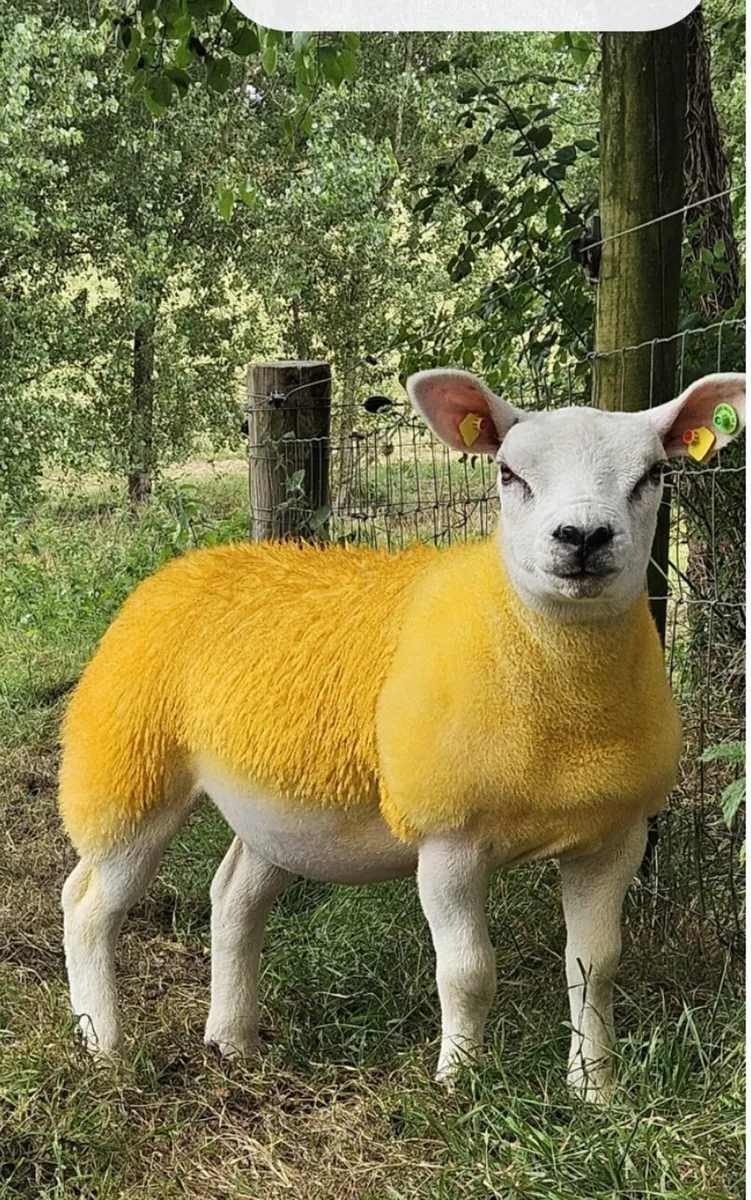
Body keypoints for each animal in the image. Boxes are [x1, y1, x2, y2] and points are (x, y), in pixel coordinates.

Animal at [60, 368, 745, 1101]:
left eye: (653, 473)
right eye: (508, 473)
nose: (582, 537)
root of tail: (181, 566)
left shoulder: (615, 835)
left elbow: (596, 966)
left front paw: (595, 1090)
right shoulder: (448, 836)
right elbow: (467, 972)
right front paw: (459, 1083)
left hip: (278, 805)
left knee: (233, 895)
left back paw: (232, 1040)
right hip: (125, 764)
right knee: (87, 904)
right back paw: (104, 1046)